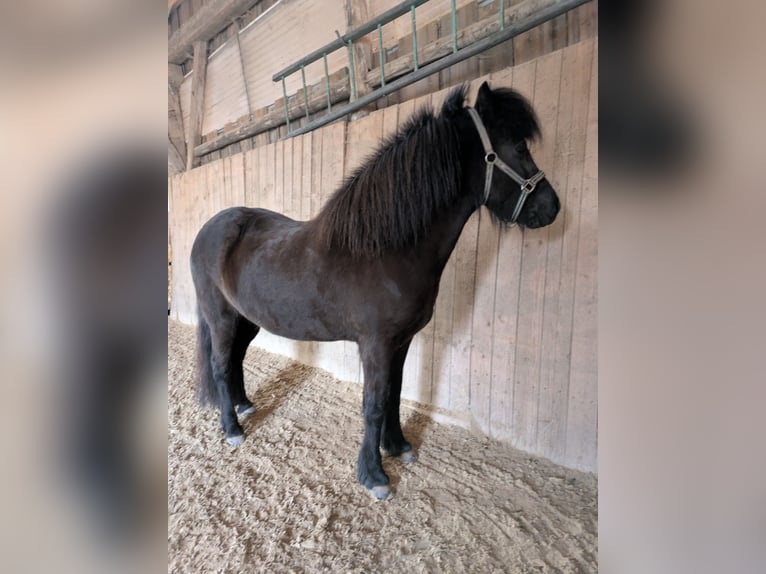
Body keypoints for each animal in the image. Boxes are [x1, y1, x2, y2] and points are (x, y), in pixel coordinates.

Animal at [190, 82, 560, 500]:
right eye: (519, 148)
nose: (552, 207)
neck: (387, 250)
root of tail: (211, 229)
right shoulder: (376, 344)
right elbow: (374, 404)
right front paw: (374, 475)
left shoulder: (401, 341)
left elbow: (394, 395)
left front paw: (397, 446)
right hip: (220, 317)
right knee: (221, 366)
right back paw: (232, 428)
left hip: (246, 320)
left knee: (235, 360)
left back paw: (244, 406)